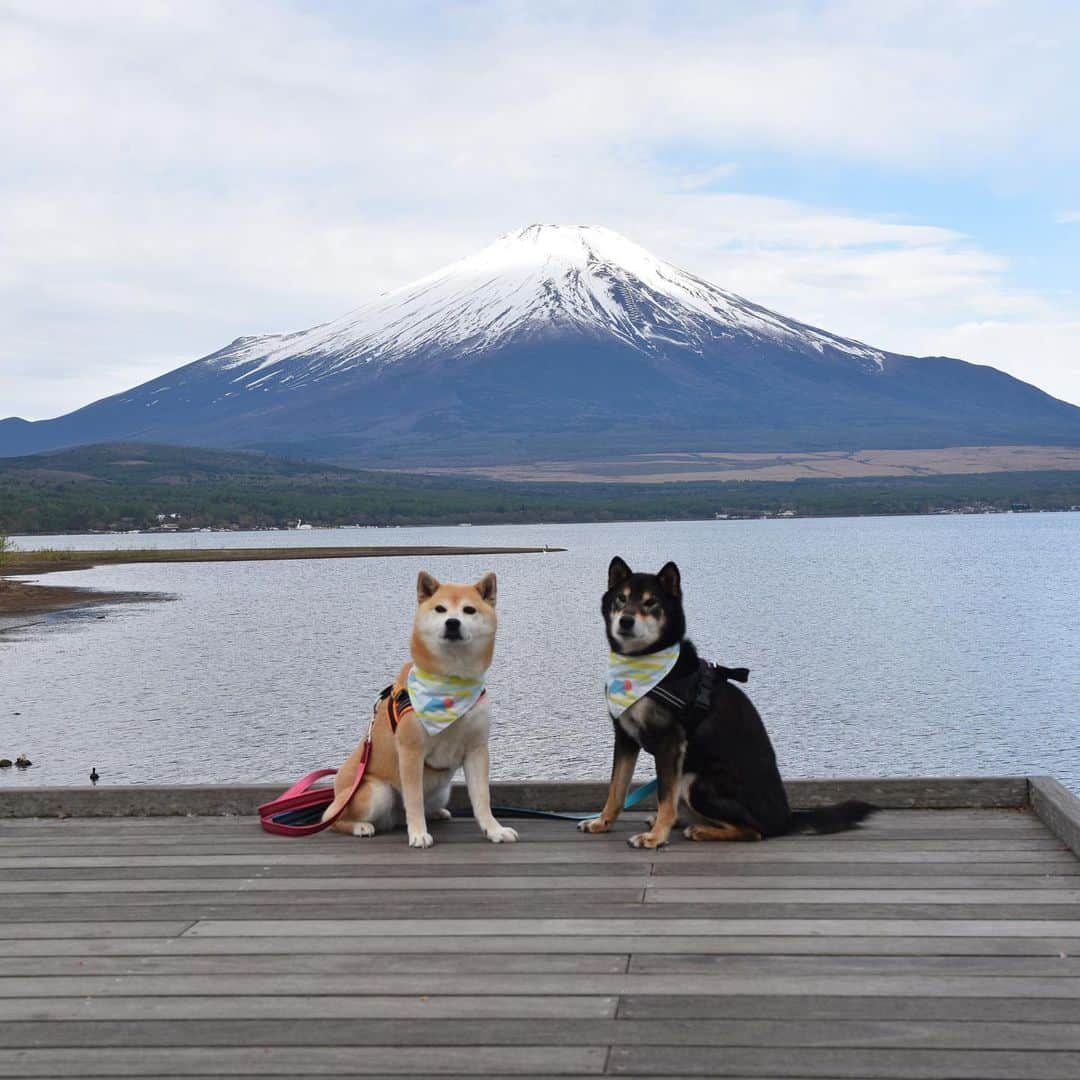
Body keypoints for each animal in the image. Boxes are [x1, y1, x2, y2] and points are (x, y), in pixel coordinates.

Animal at [319, 570, 518, 846]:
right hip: (375, 792)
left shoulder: (476, 749)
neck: (451, 682)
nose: (452, 623)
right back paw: (360, 826)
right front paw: (418, 834)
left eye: (469, 610)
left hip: (441, 791)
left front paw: (494, 830)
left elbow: (482, 799)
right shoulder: (411, 751)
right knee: (332, 819)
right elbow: (413, 800)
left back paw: (436, 813)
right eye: (440, 609)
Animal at [578, 557, 872, 851]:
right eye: (621, 598)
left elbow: (664, 797)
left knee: (753, 831)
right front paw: (602, 822)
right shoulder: (625, 737)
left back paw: (700, 830)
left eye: (651, 603)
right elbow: (616, 789)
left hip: (693, 781)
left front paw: (656, 837)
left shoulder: (670, 744)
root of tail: (786, 819)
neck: (642, 662)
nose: (626, 621)